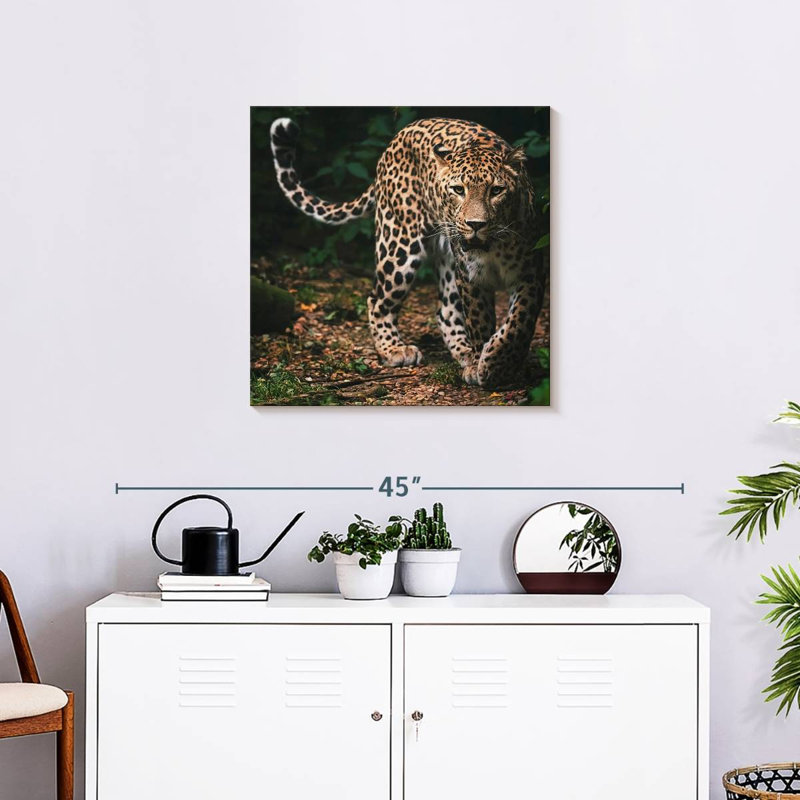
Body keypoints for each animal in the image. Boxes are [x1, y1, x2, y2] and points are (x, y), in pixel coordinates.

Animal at [269, 116, 546, 387]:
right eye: (459, 190)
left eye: (496, 190)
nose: (475, 225)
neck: (493, 247)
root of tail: (398, 136)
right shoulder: (470, 278)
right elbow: (480, 322)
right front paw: (486, 366)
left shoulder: (531, 272)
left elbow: (519, 323)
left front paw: (498, 363)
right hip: (399, 245)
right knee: (377, 300)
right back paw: (395, 350)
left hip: (446, 260)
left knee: (446, 311)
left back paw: (465, 355)